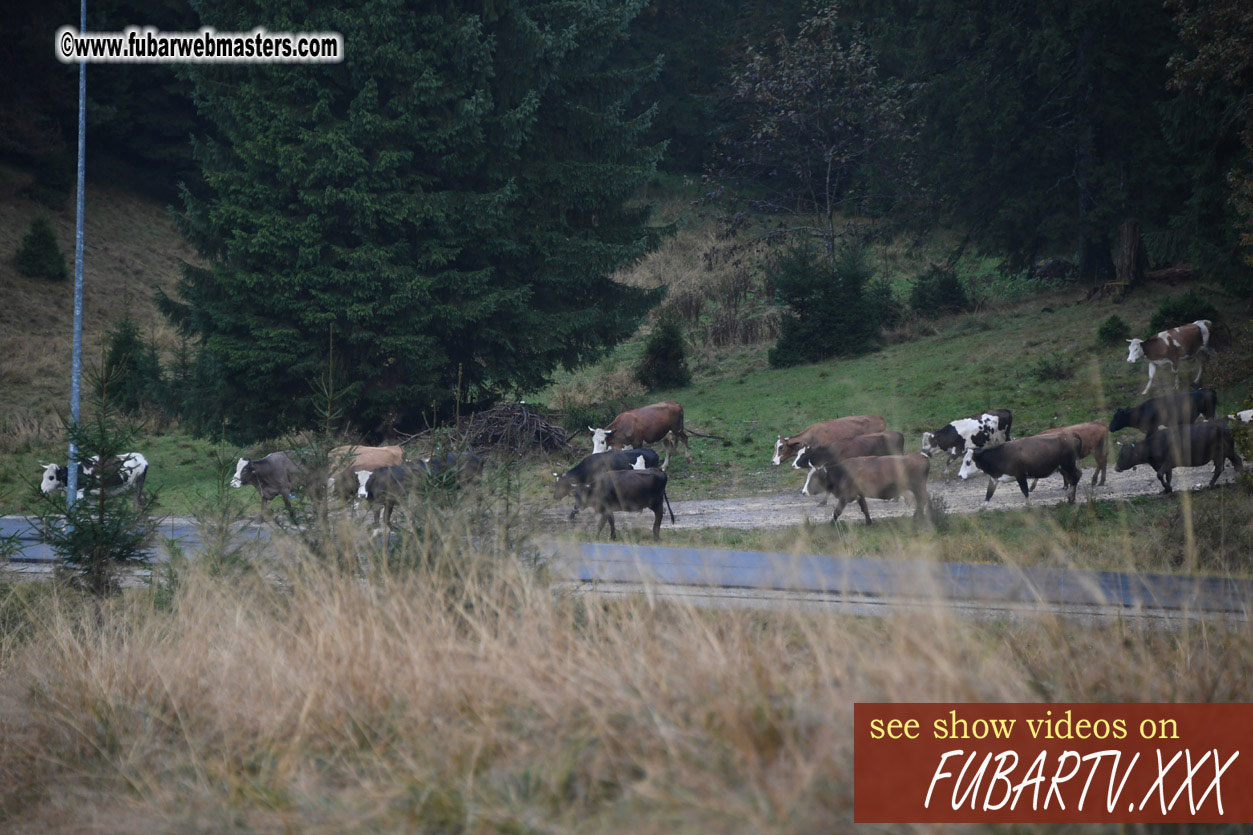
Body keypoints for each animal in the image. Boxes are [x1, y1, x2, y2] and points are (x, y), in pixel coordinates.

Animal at [801, 451, 932, 524]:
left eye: (814, 478)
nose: (803, 492)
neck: (841, 472)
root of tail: (921, 457)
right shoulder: (860, 495)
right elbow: (865, 509)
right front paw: (869, 522)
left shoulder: (845, 497)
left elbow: (837, 512)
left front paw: (831, 524)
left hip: (918, 487)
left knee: (922, 501)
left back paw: (918, 517)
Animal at [952, 431, 1082, 504]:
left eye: (968, 462)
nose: (959, 475)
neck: (1001, 456)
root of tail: (1071, 435)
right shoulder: (994, 479)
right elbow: (988, 495)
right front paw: (982, 510)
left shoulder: (1020, 476)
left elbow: (1025, 491)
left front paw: (1029, 506)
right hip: (1064, 467)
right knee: (1073, 478)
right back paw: (1071, 497)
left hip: (1068, 465)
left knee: (1077, 476)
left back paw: (1071, 498)